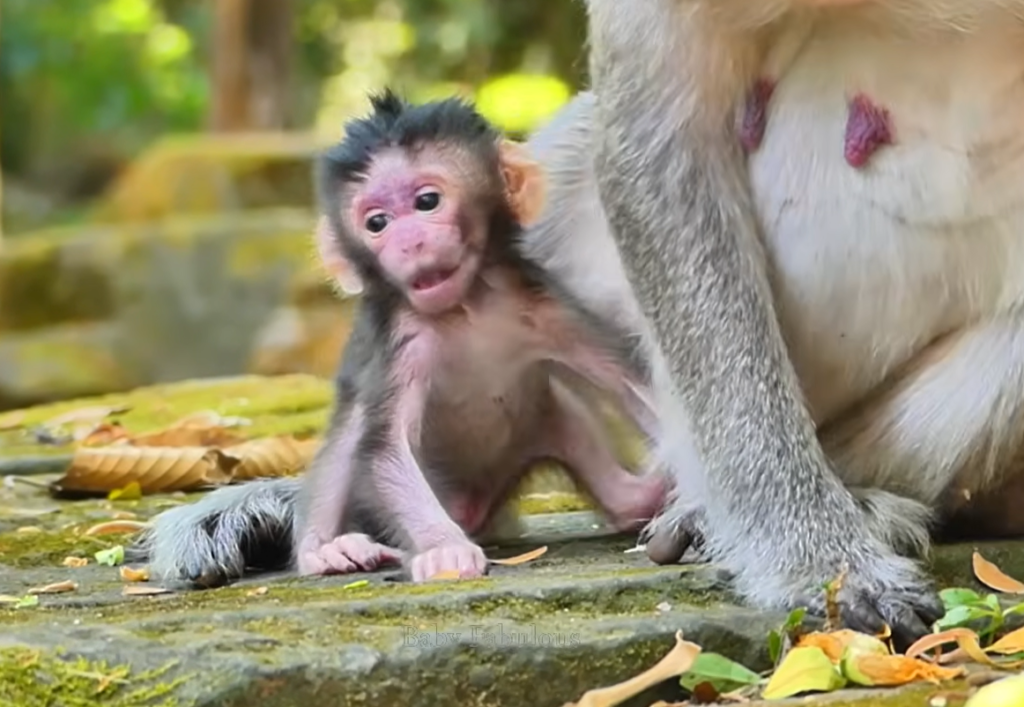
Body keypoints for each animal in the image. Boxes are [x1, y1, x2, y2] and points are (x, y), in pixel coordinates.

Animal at [129, 91, 668, 585]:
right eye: (377, 223)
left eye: (427, 201)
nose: (409, 242)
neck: (465, 311)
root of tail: (473, 505)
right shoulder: (405, 341)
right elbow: (385, 447)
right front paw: (443, 551)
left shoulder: (544, 306)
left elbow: (631, 380)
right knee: (354, 430)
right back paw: (325, 548)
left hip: (538, 429)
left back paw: (644, 495)